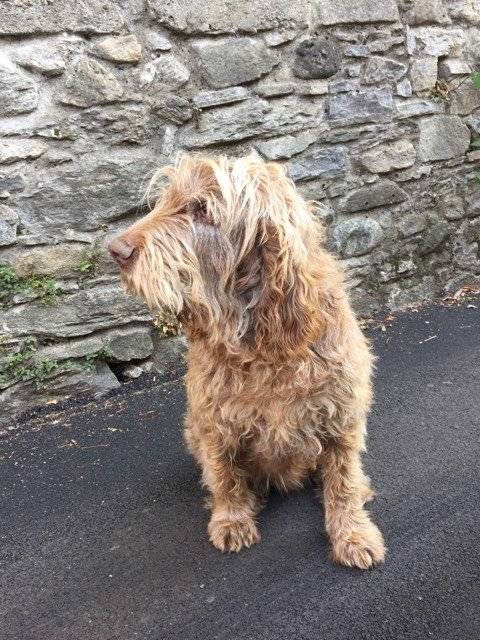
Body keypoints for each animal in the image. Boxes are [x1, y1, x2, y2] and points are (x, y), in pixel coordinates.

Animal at [109, 154, 386, 568]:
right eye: (165, 200)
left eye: (202, 209)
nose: (115, 249)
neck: (262, 343)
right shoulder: (214, 421)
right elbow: (224, 474)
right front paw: (232, 519)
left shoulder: (341, 415)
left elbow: (343, 480)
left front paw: (352, 533)